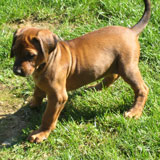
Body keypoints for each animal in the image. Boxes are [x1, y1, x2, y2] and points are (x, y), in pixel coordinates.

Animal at [10, 0, 151, 142]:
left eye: (30, 55)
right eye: (14, 51)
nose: (16, 71)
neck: (47, 61)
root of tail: (131, 31)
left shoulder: (58, 96)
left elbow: (48, 116)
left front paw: (41, 132)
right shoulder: (40, 83)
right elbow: (37, 92)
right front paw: (34, 103)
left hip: (128, 67)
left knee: (142, 89)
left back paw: (135, 111)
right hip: (115, 64)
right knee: (113, 75)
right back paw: (95, 87)